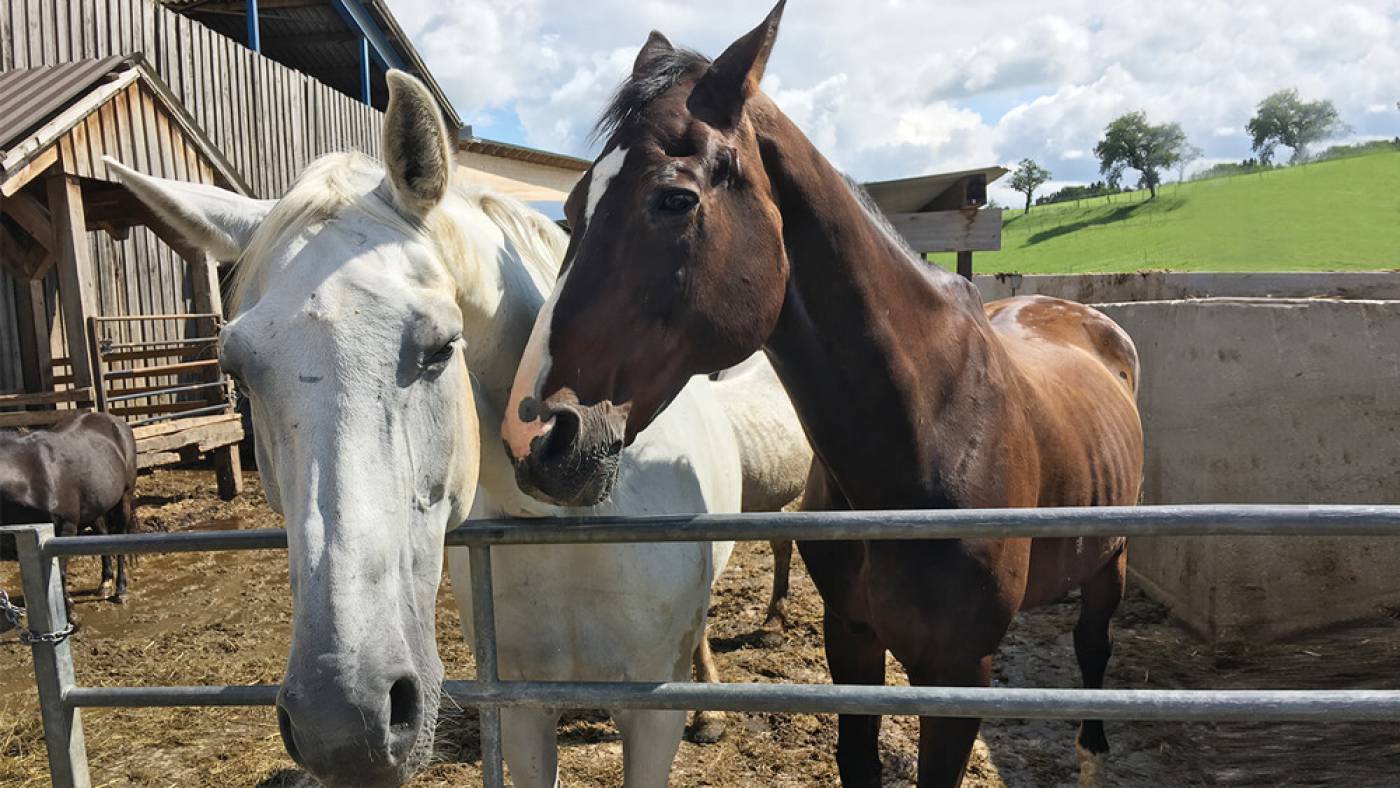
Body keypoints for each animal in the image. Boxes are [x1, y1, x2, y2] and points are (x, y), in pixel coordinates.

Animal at [1, 414, 139, 610]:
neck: (27, 474)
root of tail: (117, 422)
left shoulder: (65, 528)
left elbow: (60, 570)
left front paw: (67, 606)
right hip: (95, 506)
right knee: (102, 535)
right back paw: (105, 582)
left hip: (124, 498)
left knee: (120, 538)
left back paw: (121, 590)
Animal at [112, 71, 800, 783]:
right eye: (237, 370)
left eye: (441, 347)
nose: (343, 720)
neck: (572, 523)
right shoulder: (524, 708)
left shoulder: (650, 717)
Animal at [498, 3, 1142, 783]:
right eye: (571, 206)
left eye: (675, 199)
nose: (534, 434)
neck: (928, 441)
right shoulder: (852, 639)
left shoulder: (959, 672)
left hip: (1111, 560)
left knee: (1093, 648)